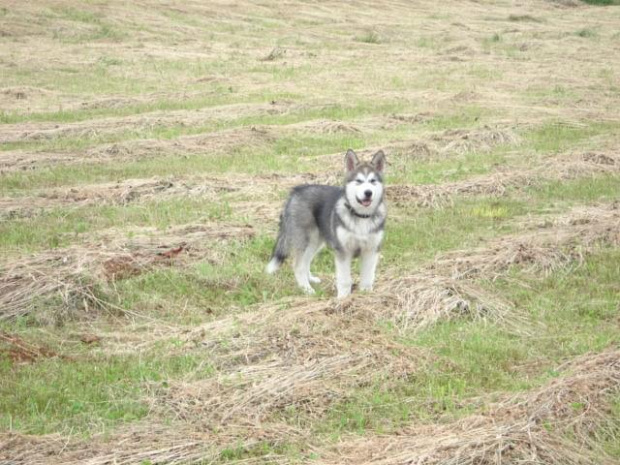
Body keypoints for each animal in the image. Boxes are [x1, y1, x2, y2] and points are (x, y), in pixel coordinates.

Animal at [266, 149, 388, 298]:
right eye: (359, 181)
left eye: (372, 181)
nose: (368, 193)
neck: (361, 217)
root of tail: (295, 191)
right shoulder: (342, 251)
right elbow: (344, 280)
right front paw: (343, 299)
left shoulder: (371, 250)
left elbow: (367, 277)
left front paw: (366, 294)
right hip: (304, 239)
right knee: (298, 266)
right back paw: (307, 289)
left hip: (315, 241)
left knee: (305, 262)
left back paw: (311, 279)